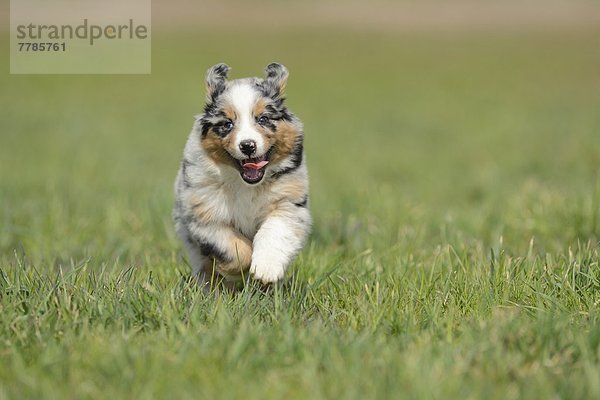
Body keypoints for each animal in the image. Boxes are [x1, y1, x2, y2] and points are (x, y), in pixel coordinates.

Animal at [172, 61, 310, 288]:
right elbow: (234, 248)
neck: (245, 184)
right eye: (227, 124)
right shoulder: (204, 214)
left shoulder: (287, 203)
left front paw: (265, 270)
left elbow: (274, 232)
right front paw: (237, 272)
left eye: (263, 119)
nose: (247, 146)